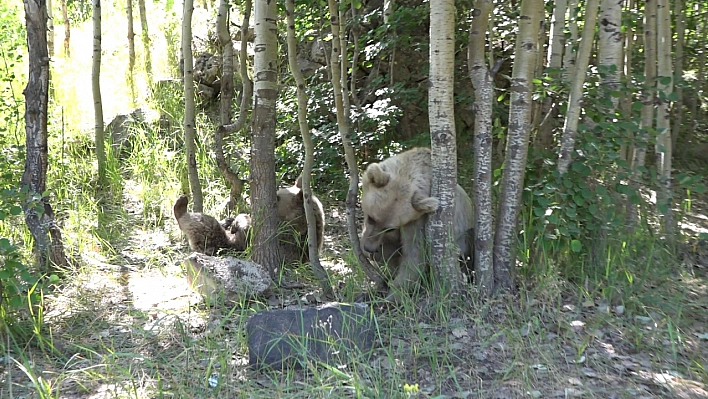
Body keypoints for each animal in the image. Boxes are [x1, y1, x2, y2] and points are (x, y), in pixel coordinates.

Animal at [360, 148, 476, 302]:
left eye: (389, 228)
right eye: (371, 218)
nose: (369, 248)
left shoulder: (418, 220)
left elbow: (414, 254)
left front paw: (393, 295)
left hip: (466, 238)